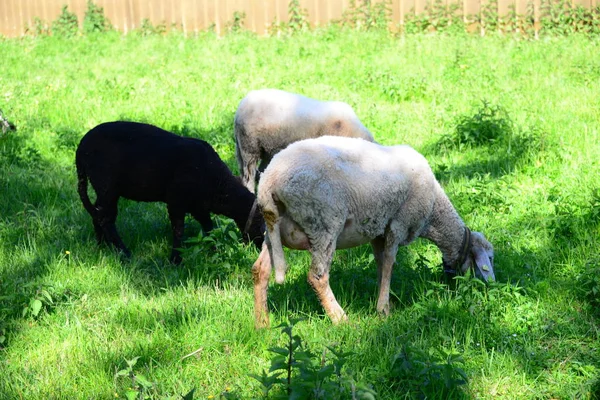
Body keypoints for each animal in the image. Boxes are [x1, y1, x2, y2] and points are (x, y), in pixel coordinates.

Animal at [76, 119, 264, 262]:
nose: (261, 250)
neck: (219, 185)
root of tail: (80, 150)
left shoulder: (198, 205)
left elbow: (208, 226)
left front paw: (214, 250)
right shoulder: (176, 201)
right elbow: (179, 230)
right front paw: (176, 260)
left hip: (104, 189)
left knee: (99, 213)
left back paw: (101, 245)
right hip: (106, 185)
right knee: (106, 218)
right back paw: (123, 252)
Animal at [251, 136, 494, 326]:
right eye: (490, 258)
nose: (490, 289)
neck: (434, 210)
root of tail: (268, 180)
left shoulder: (379, 230)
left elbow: (380, 263)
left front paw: (385, 300)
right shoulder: (398, 224)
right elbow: (389, 263)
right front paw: (383, 310)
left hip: (274, 232)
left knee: (260, 269)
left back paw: (262, 323)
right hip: (323, 223)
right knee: (317, 276)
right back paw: (340, 319)